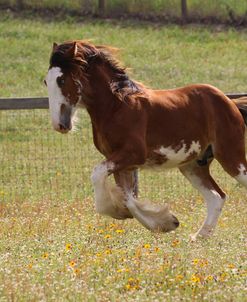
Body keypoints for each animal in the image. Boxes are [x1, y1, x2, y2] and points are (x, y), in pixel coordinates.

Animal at [44, 40, 247, 239]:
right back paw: (200, 236)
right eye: (46, 81)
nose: (59, 124)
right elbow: (128, 199)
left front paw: (120, 211)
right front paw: (166, 222)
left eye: (61, 79)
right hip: (193, 165)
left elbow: (98, 175)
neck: (116, 107)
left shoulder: (133, 154)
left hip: (230, 156)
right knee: (217, 196)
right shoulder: (120, 163)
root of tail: (230, 103)